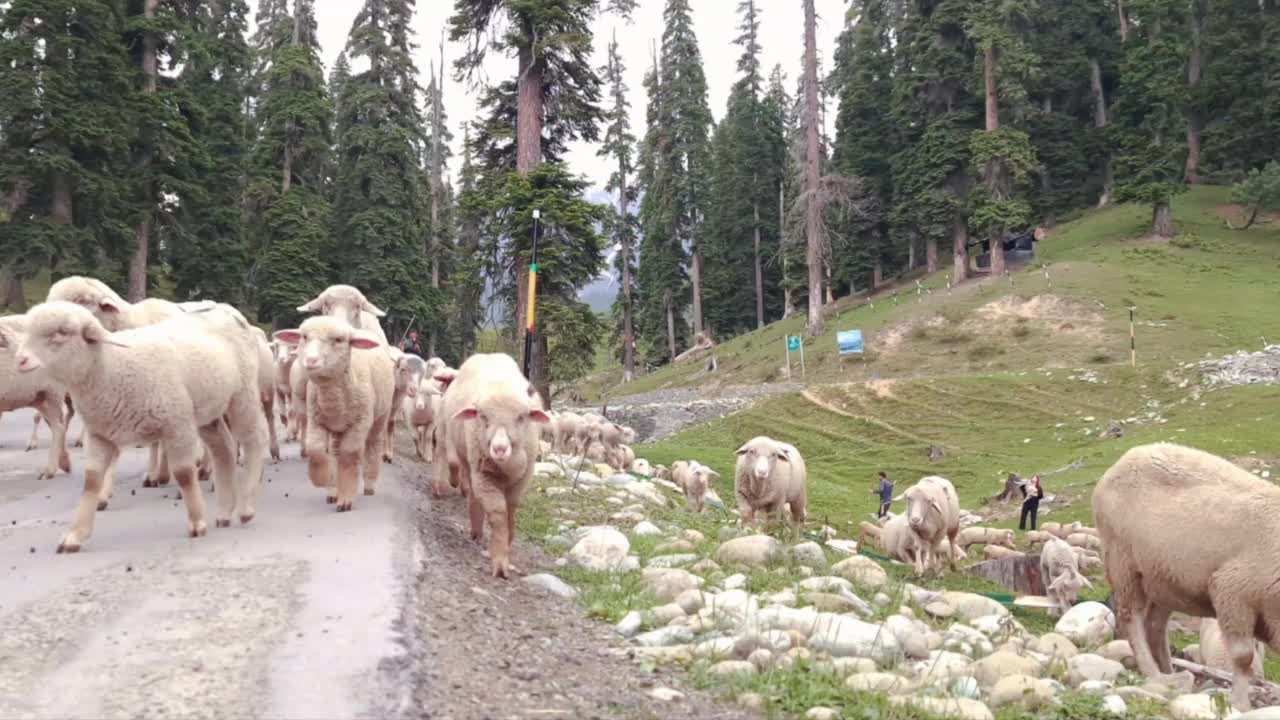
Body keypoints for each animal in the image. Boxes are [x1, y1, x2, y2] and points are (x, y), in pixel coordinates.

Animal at [0, 313, 73, 476]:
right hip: (38, 396)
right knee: (54, 423)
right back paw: (63, 462)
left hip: (53, 392)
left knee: (58, 427)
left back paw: (50, 469)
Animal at [15, 298, 270, 548]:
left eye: (61, 332)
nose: (20, 360)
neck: (111, 368)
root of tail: (226, 309)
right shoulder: (99, 434)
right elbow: (92, 481)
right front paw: (75, 535)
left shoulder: (178, 424)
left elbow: (184, 474)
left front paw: (197, 522)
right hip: (208, 409)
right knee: (223, 448)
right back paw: (225, 511)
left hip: (242, 394)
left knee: (254, 439)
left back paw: (246, 507)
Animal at [270, 315, 389, 509]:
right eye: (304, 337)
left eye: (339, 340)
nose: (311, 361)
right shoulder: (316, 419)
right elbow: (316, 449)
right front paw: (323, 479)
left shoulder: (360, 422)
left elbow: (349, 455)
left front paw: (346, 498)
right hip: (337, 428)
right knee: (334, 451)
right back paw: (333, 490)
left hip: (380, 417)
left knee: (372, 444)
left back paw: (369, 484)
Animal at [440, 353, 550, 576]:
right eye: (483, 416)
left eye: (521, 417)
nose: (499, 448)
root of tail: (488, 355)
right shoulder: (484, 476)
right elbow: (499, 514)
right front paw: (499, 561)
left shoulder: (522, 479)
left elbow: (511, 511)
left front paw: (507, 543)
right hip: (469, 461)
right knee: (473, 491)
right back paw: (476, 530)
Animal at [1090, 440, 1280, 707]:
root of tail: (1125, 458)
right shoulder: (1231, 591)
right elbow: (1243, 657)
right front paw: (1240, 704)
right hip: (1122, 562)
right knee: (1131, 618)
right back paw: (1153, 672)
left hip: (1162, 578)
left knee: (1155, 626)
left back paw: (1170, 673)